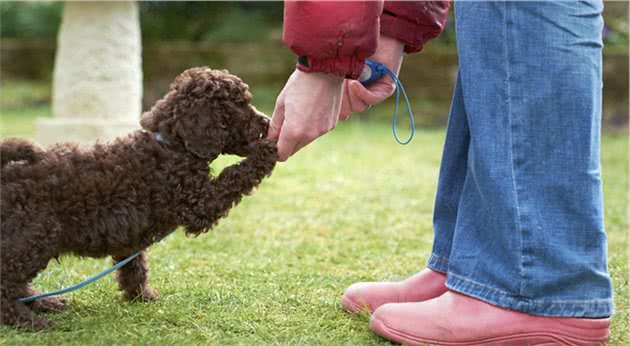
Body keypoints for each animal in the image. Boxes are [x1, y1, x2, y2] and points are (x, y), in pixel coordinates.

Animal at [0, 67, 276, 328]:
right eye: (238, 104)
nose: (267, 121)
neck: (173, 144)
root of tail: (6, 173)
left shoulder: (129, 233)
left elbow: (135, 265)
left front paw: (141, 295)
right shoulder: (198, 203)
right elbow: (234, 176)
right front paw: (267, 151)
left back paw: (43, 303)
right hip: (35, 236)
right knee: (7, 281)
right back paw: (27, 319)